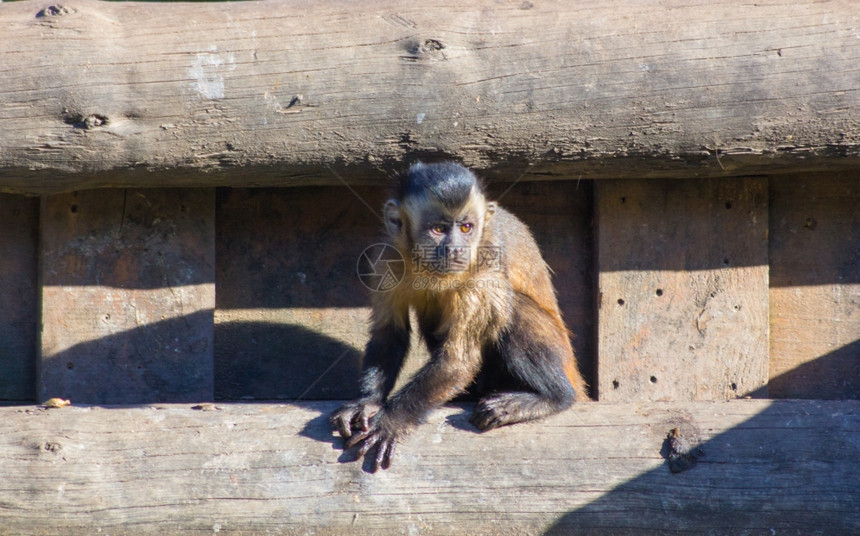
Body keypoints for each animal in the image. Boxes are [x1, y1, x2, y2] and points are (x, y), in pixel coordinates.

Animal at [330, 162, 584, 468]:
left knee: (510, 308)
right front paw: (367, 403)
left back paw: (553, 397)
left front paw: (390, 421)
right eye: (439, 229)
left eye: (466, 227)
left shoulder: (483, 271)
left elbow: (457, 362)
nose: (456, 249)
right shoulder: (388, 257)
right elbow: (389, 334)